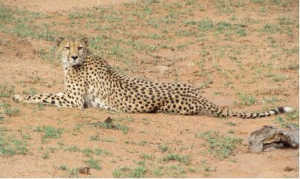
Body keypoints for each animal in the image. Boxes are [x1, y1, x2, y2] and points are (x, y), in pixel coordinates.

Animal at [12, 37, 294, 118]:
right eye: (67, 47)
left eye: (79, 47)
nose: (72, 57)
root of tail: (198, 94)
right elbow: (45, 92)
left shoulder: (73, 101)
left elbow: (43, 95)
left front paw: (18, 96)